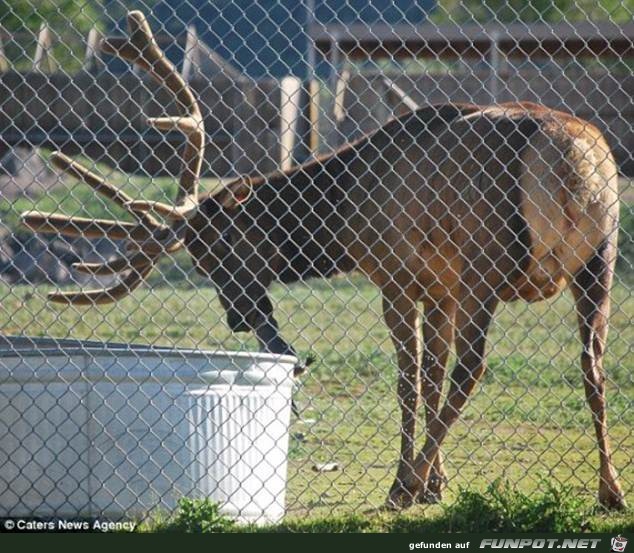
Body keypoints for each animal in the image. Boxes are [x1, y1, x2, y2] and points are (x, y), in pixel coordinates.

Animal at [21, 9, 624, 508]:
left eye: (218, 249)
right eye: (199, 262)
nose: (238, 317)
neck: (346, 216)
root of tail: (571, 161)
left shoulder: (398, 275)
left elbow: (409, 379)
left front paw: (413, 483)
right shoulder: (439, 287)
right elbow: (430, 374)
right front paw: (437, 485)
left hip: (487, 259)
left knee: (474, 367)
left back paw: (402, 488)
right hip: (599, 259)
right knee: (592, 366)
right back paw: (610, 491)